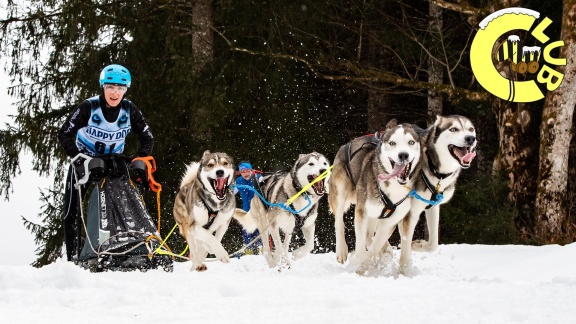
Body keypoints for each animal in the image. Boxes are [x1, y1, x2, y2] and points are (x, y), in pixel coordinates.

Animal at [330, 119, 420, 266]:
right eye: (392, 143)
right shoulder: (362, 212)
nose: (403, 155)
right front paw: (357, 261)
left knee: (370, 235)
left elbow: (374, 245)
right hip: (340, 191)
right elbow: (362, 246)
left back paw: (384, 250)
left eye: (411, 142)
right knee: (339, 222)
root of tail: (345, 145)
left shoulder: (390, 221)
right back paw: (342, 250)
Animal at [400, 115, 476, 270]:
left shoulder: (432, 207)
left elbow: (433, 244)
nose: (470, 138)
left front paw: (418, 245)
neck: (438, 173)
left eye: (471, 129)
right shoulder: (411, 213)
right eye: (454, 129)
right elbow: (405, 247)